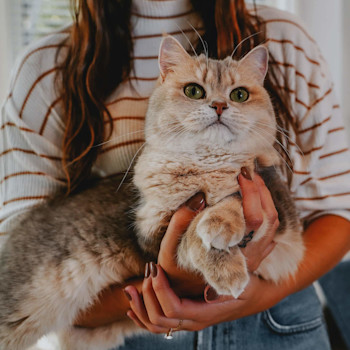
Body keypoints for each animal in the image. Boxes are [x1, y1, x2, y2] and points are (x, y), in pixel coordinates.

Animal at [0, 36, 304, 350]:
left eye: (240, 94)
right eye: (194, 91)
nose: (219, 105)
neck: (205, 166)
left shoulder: (277, 205)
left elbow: (230, 201)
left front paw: (219, 226)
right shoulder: (152, 238)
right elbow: (190, 235)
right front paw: (227, 268)